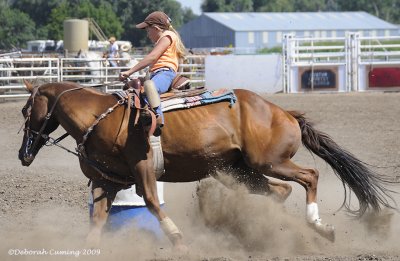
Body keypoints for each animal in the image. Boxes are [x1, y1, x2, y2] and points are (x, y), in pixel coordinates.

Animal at [17, 79, 396, 248]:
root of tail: (284, 112)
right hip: (237, 171)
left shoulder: (142, 168)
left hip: (269, 161)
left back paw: (319, 227)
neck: (102, 116)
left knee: (310, 176)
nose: (23, 154)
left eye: (25, 110)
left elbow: (152, 202)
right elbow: (97, 220)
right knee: (280, 191)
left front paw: (176, 236)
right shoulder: (107, 181)